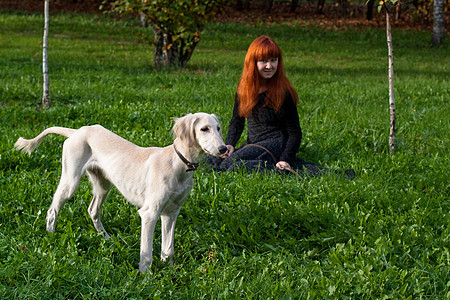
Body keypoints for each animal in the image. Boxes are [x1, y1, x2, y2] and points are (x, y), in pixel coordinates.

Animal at [14, 113, 227, 274]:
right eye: (204, 129)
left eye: (218, 128)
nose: (224, 148)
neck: (178, 164)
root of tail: (79, 130)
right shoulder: (149, 213)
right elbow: (146, 253)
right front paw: (146, 277)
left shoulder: (171, 213)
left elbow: (168, 249)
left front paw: (170, 271)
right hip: (70, 180)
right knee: (53, 209)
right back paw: (51, 236)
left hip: (102, 184)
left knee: (92, 210)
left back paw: (105, 238)